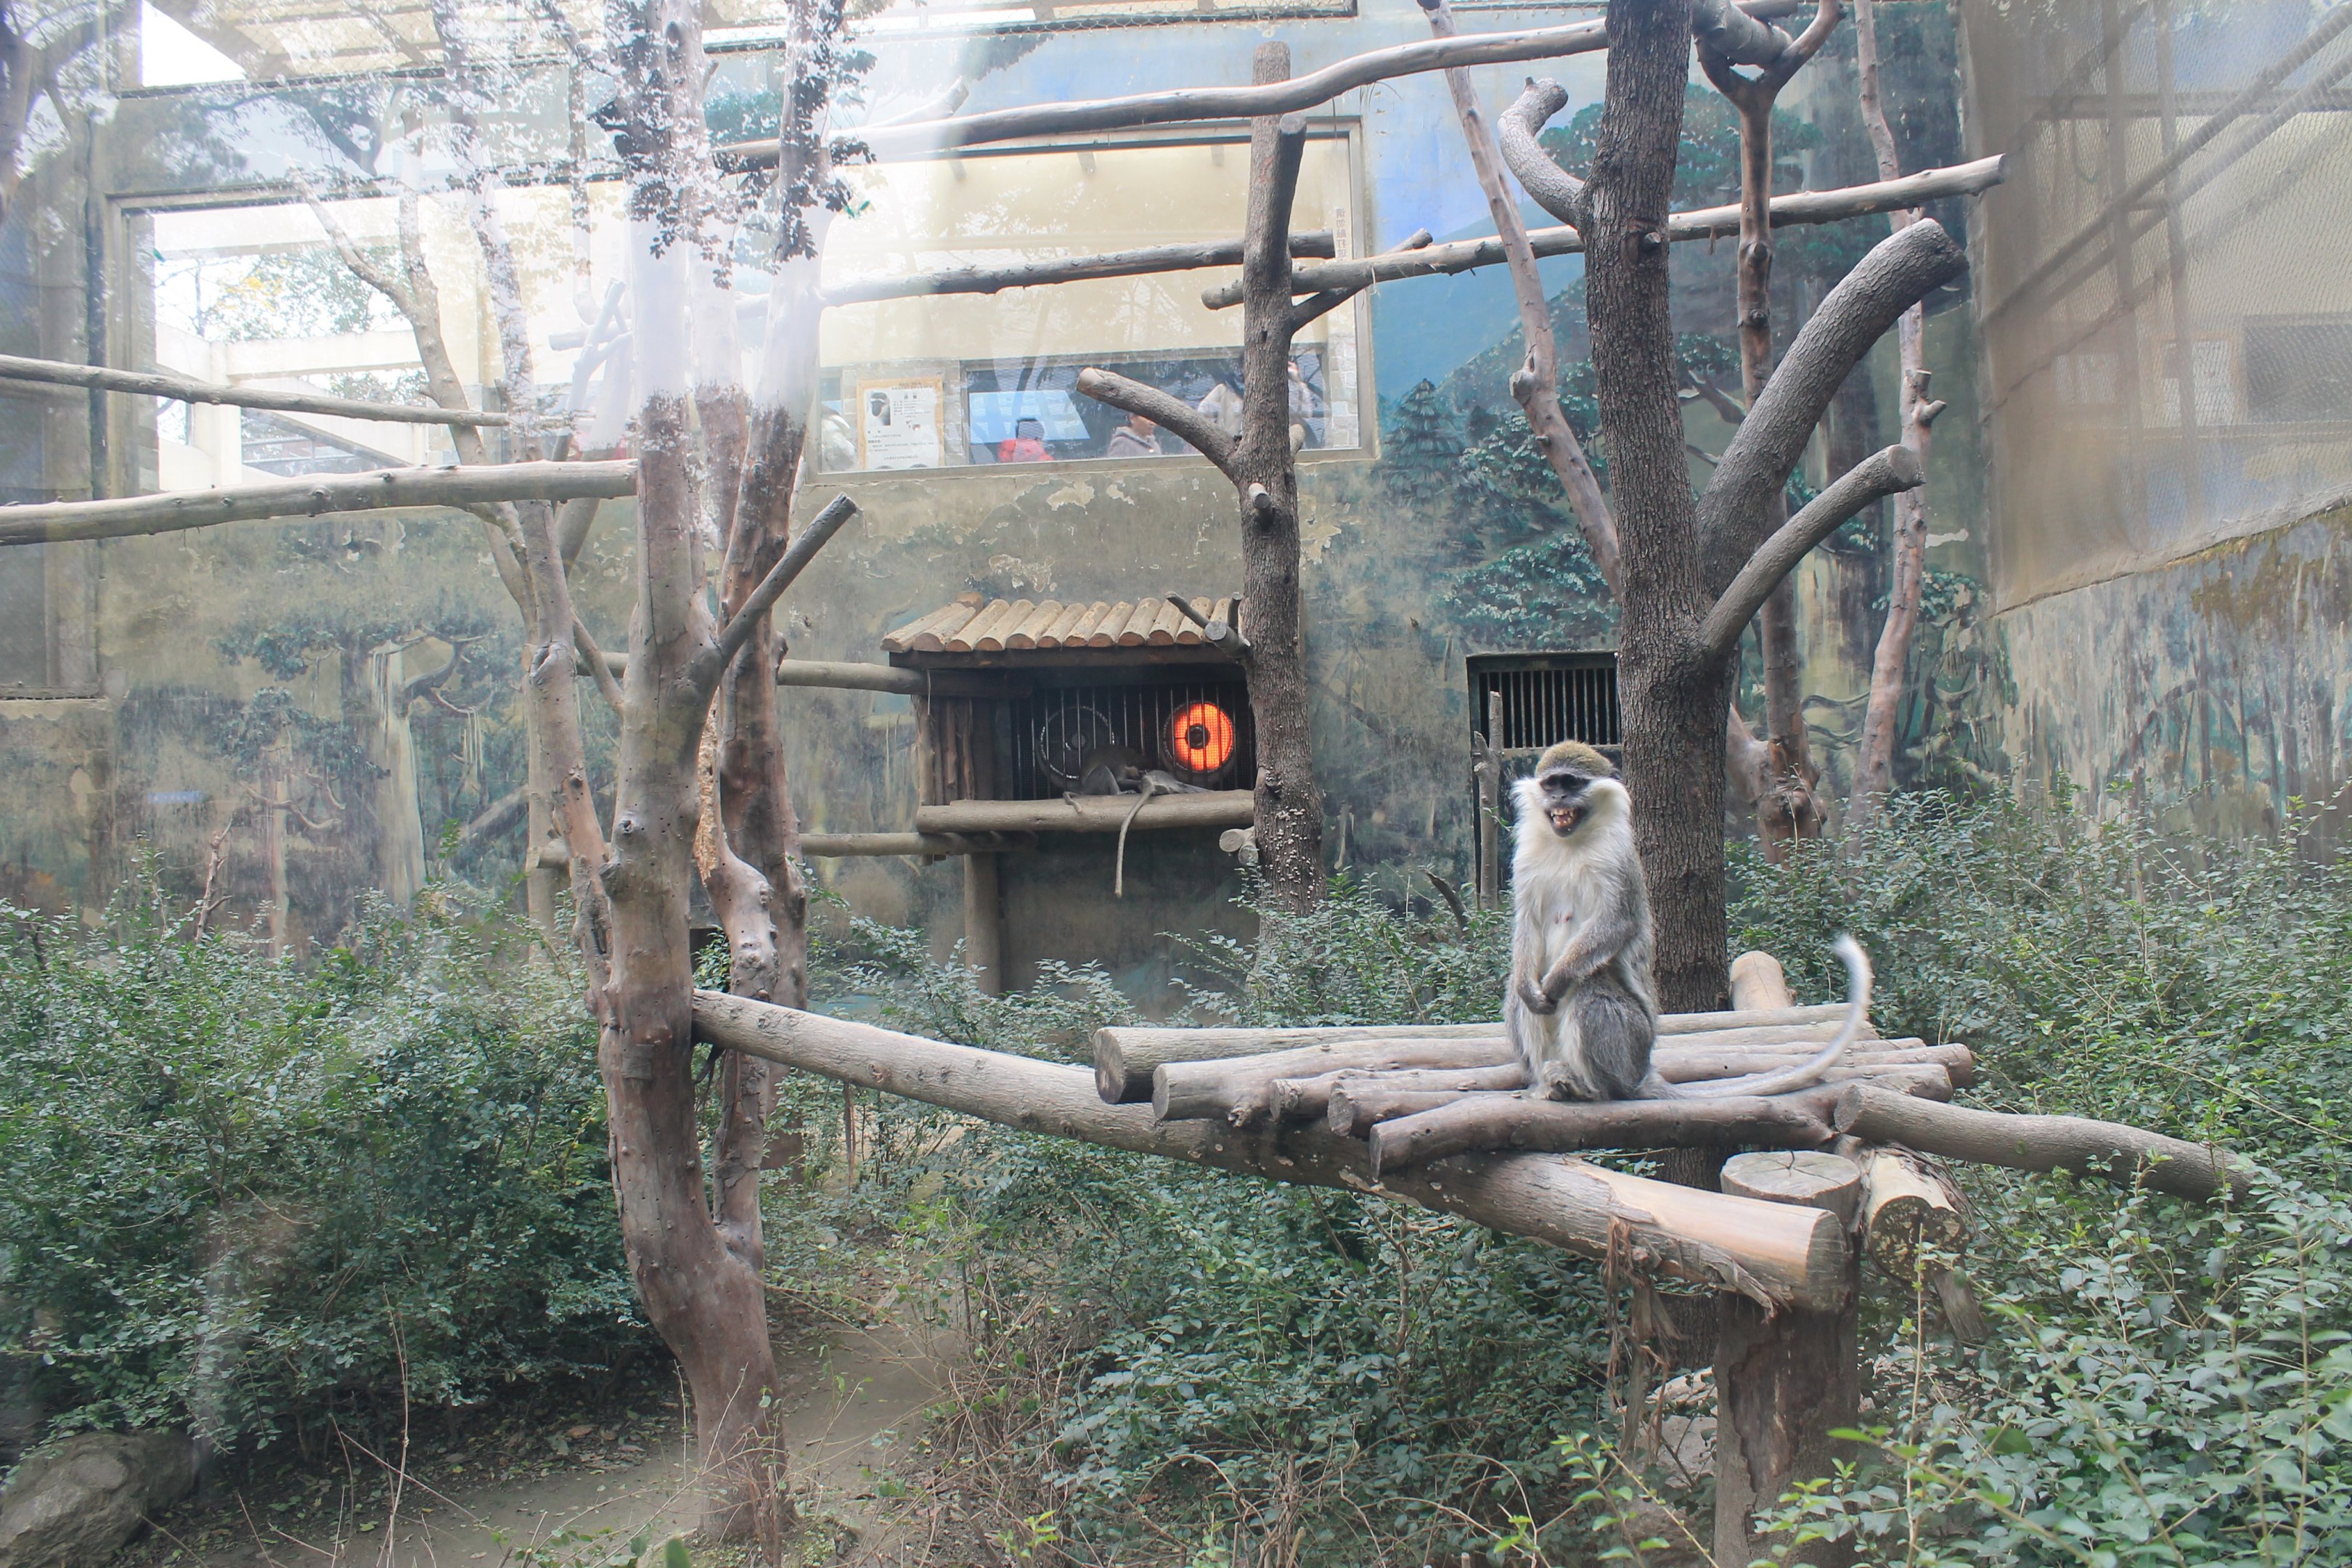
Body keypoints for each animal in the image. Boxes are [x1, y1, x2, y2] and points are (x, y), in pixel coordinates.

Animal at [1504, 740, 1871, 1101]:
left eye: (1572, 783)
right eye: (1551, 784)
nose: (1558, 799)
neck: (1571, 844)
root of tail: (1641, 1075)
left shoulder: (1618, 859)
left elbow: (1616, 923)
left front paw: (1556, 981)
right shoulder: (1527, 861)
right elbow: (1527, 924)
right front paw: (1530, 986)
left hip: (1631, 1046)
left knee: (1589, 989)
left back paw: (1589, 1087)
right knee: (1518, 996)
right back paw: (1546, 1081)